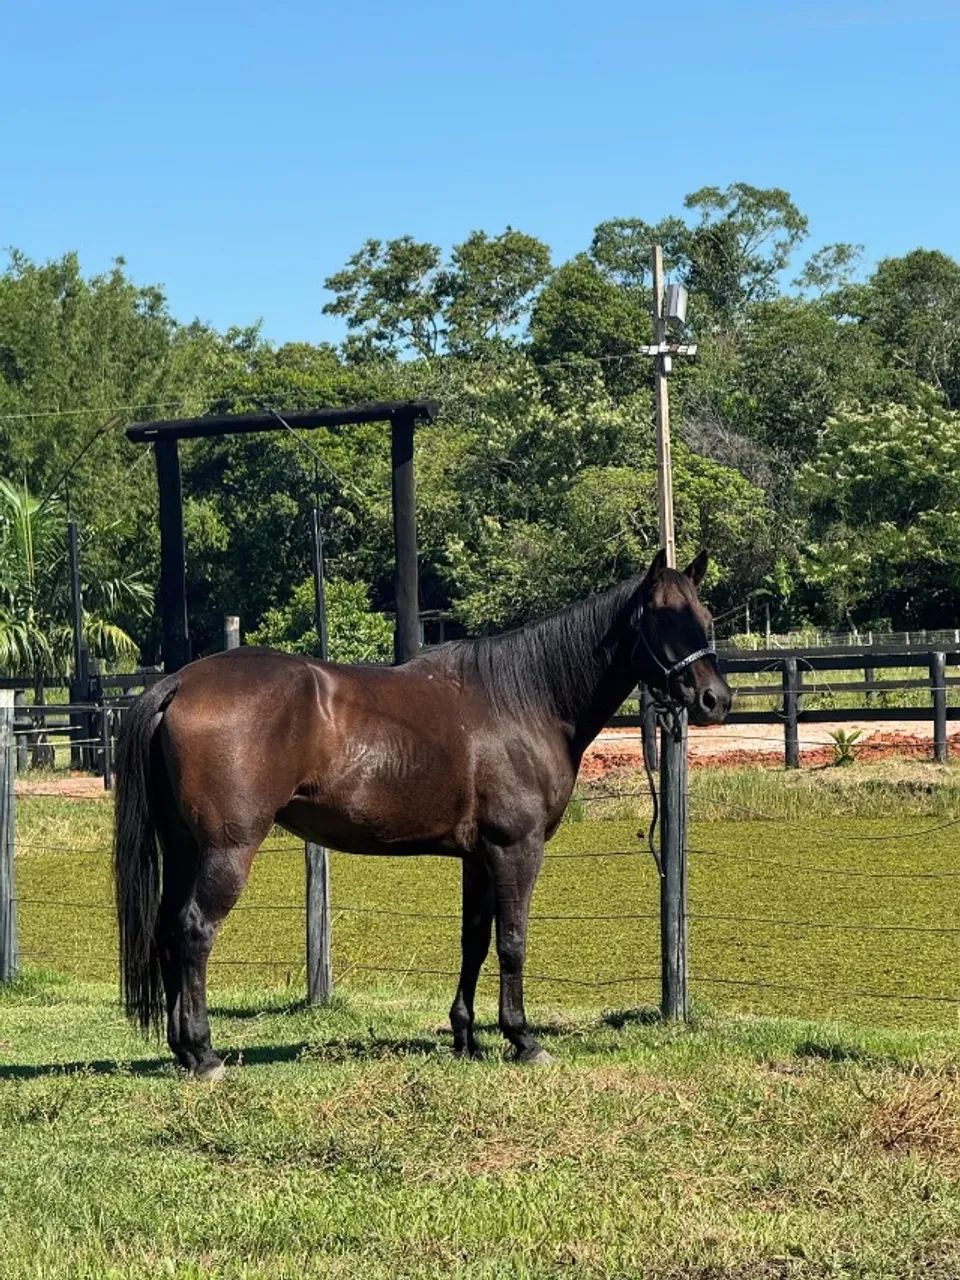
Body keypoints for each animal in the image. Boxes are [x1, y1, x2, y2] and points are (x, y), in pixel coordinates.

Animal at [114, 548, 731, 1078]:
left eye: (704, 614)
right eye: (664, 617)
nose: (716, 699)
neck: (523, 700)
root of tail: (178, 682)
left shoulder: (478, 857)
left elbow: (474, 941)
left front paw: (466, 1037)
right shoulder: (516, 849)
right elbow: (512, 941)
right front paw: (523, 1039)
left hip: (184, 848)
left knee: (169, 929)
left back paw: (182, 1050)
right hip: (227, 850)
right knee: (195, 931)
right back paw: (204, 1054)